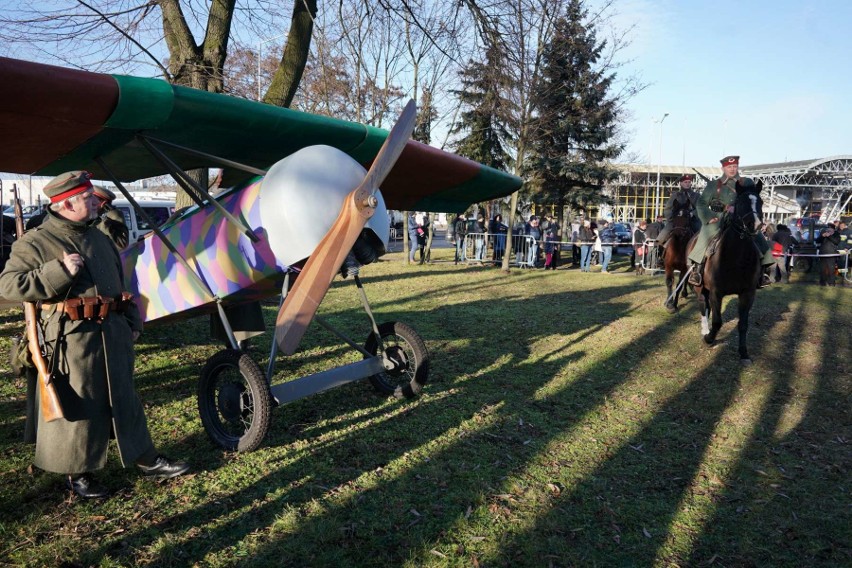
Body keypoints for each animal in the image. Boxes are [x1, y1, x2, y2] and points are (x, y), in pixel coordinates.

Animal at [684, 179, 764, 364]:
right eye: (740, 203)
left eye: (761, 202)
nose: (755, 225)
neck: (737, 256)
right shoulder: (716, 292)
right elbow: (717, 322)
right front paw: (708, 338)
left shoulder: (748, 293)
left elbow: (743, 324)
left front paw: (743, 353)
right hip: (699, 287)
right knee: (703, 305)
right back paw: (704, 330)